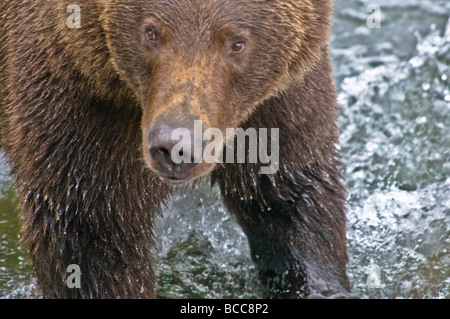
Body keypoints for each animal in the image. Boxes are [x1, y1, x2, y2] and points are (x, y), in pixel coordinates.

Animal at [0, 0, 352, 300]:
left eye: (237, 42)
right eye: (151, 32)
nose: (176, 145)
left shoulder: (279, 100)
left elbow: (289, 197)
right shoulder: (76, 100)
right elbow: (91, 237)